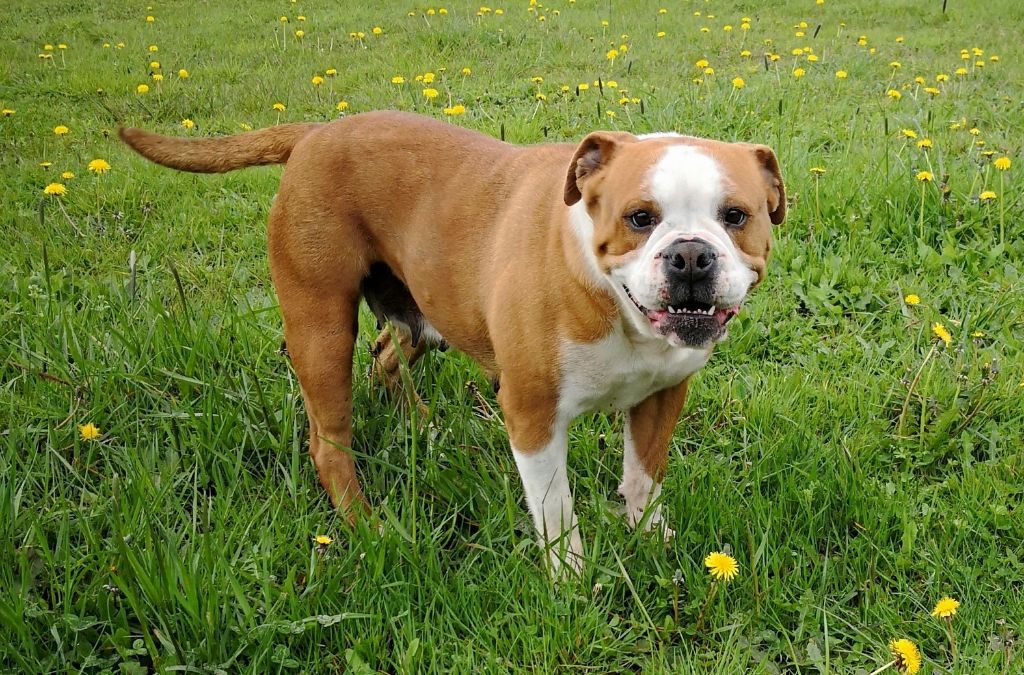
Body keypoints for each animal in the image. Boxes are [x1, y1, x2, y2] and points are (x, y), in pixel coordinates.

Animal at [120, 111, 785, 574]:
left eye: (736, 215)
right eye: (639, 218)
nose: (691, 256)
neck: (614, 301)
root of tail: (316, 133)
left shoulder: (661, 398)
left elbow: (644, 478)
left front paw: (650, 537)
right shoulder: (533, 418)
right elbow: (556, 513)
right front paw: (571, 579)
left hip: (421, 311)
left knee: (387, 356)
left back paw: (420, 427)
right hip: (321, 329)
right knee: (328, 441)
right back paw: (367, 527)